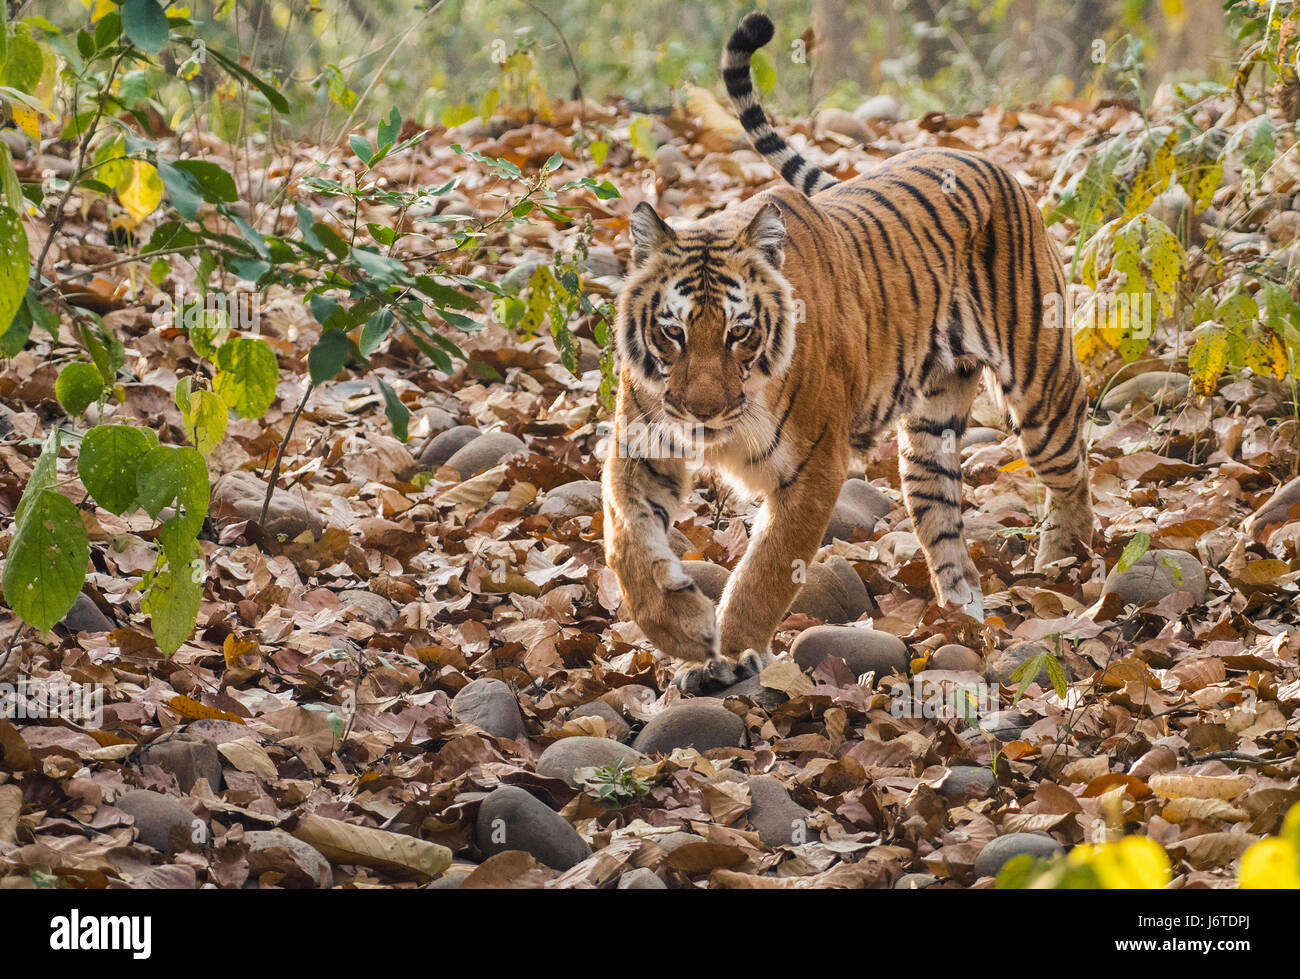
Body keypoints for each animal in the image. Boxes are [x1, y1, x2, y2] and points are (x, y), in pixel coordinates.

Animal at [603, 11, 1092, 691]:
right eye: (673, 332)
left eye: (739, 332)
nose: (703, 413)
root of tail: (970, 153)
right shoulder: (641, 444)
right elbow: (628, 544)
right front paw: (683, 631)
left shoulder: (813, 466)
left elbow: (768, 569)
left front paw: (733, 652)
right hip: (929, 435)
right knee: (945, 526)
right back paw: (962, 619)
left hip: (1040, 389)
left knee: (1073, 473)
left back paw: (1067, 566)